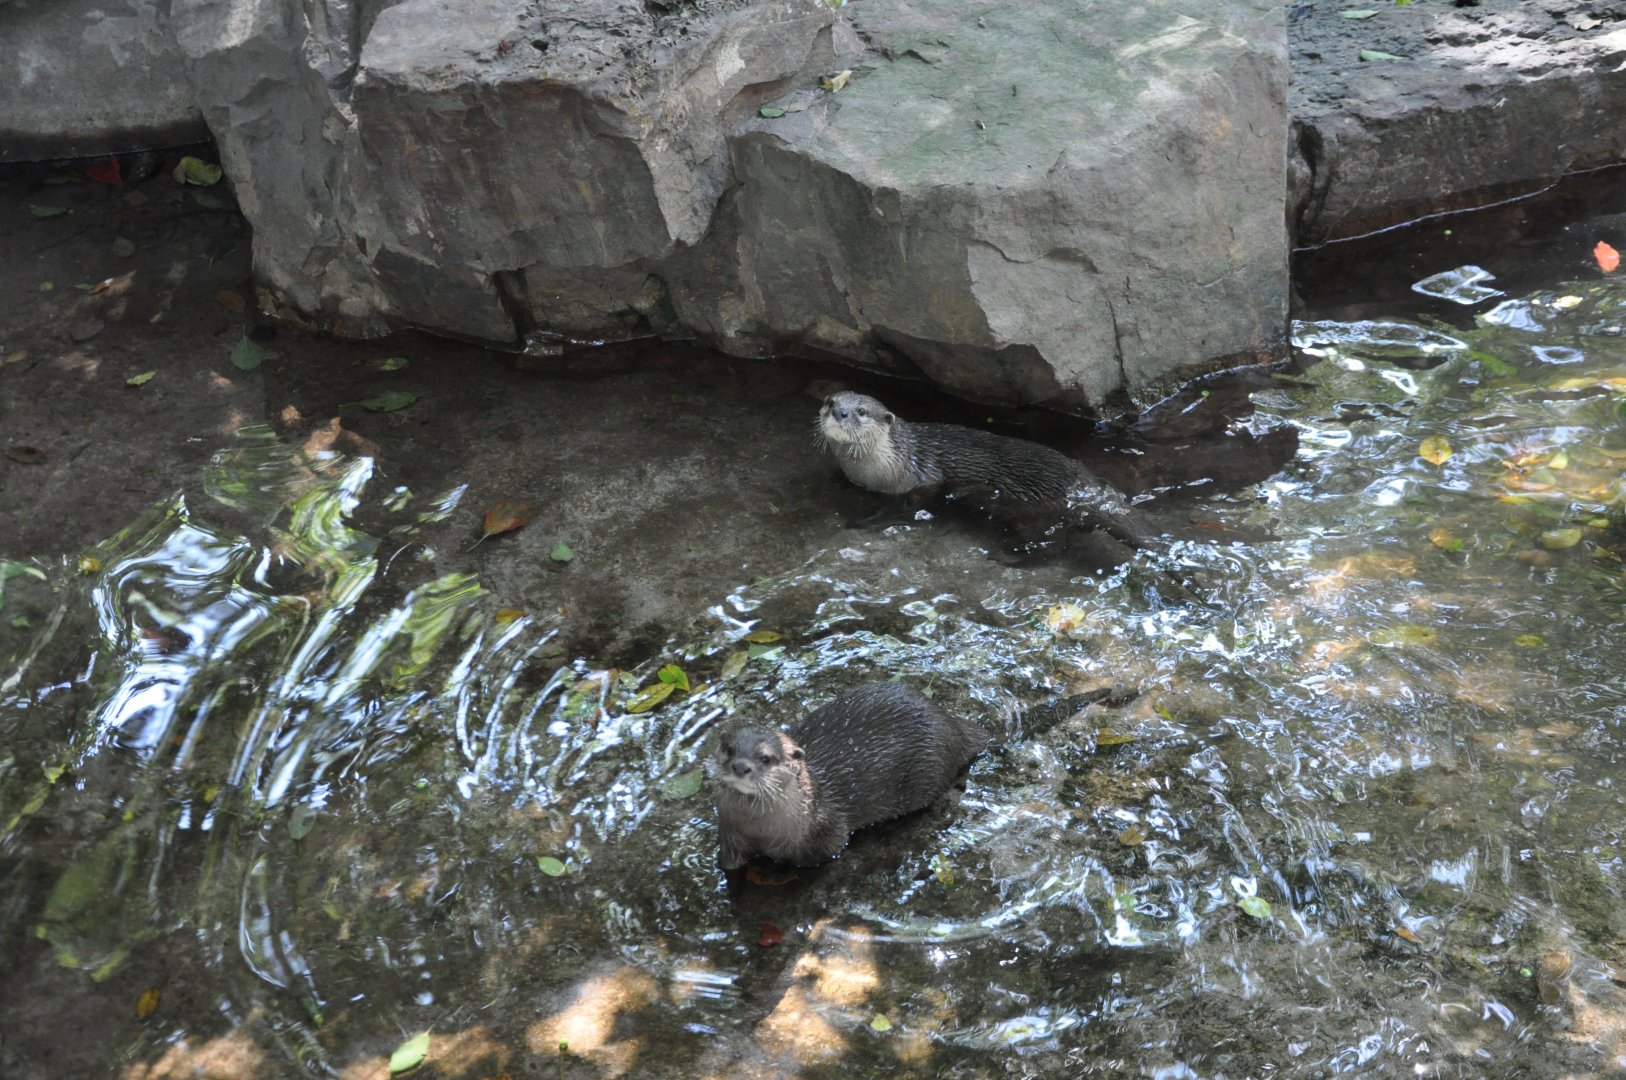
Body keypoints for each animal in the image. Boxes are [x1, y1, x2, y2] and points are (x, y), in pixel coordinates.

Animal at [713, 681, 990, 869]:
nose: (740, 767)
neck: (761, 832)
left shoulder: (825, 836)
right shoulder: (729, 838)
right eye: (729, 749)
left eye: (766, 758)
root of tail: (950, 722)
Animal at [817, 390, 1154, 549]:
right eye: (830, 400)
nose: (840, 412)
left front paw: (866, 521)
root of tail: (1084, 488)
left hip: (1038, 517)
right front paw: (838, 479)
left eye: (862, 411)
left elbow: (909, 509)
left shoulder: (918, 484)